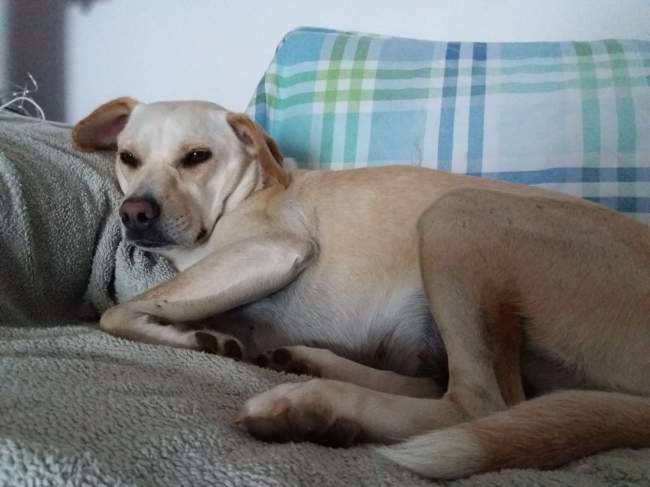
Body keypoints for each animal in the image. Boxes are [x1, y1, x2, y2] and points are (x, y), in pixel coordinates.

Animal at [72, 97, 650, 479]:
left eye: (196, 157)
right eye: (128, 157)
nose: (135, 214)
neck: (246, 195)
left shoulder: (273, 250)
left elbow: (117, 312)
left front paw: (194, 338)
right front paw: (210, 332)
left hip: (453, 217)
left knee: (479, 404)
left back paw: (317, 406)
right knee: (462, 391)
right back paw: (312, 373)